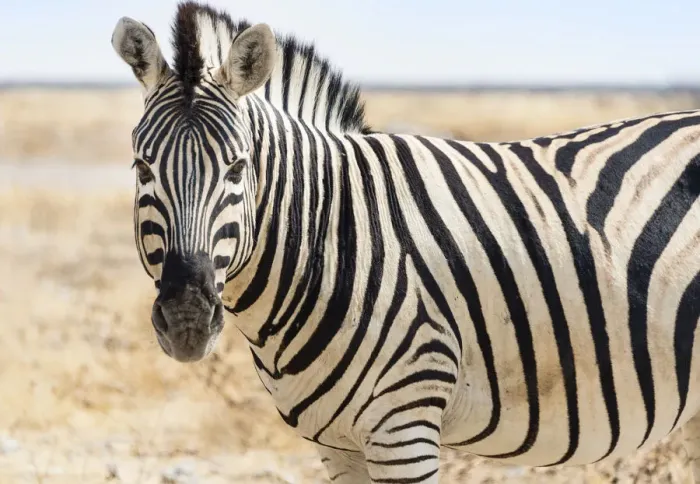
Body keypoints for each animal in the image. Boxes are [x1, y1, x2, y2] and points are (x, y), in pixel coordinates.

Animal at [111, 1, 700, 482]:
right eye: (142, 167)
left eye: (237, 169)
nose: (187, 319)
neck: (330, 239)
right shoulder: (337, 445)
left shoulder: (405, 424)